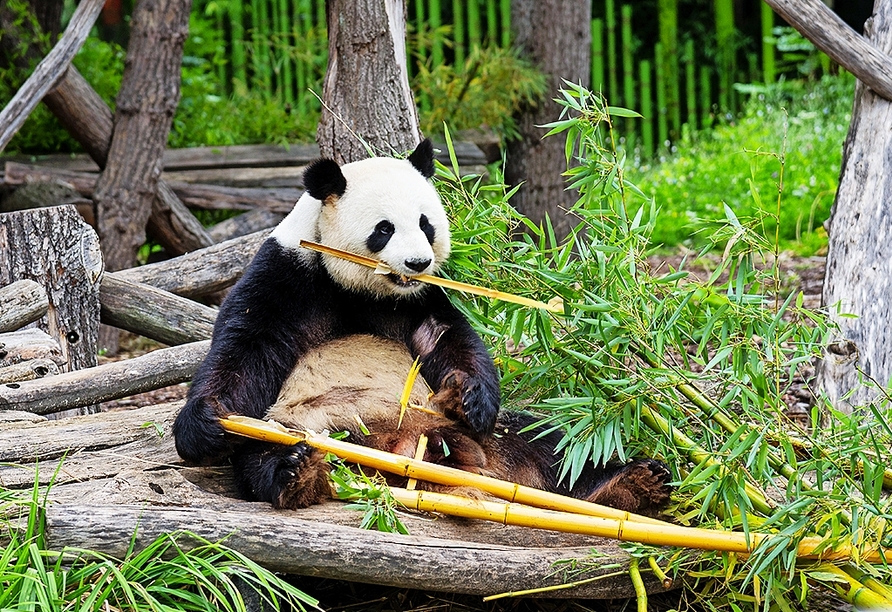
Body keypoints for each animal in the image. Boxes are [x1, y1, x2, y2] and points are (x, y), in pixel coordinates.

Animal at [172, 139, 668, 512]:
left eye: (426, 223)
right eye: (384, 229)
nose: (418, 262)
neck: (359, 286)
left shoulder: (422, 296)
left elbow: (448, 338)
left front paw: (472, 397)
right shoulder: (288, 274)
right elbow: (246, 349)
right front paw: (205, 421)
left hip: (491, 432)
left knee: (562, 444)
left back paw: (635, 483)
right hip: (303, 423)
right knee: (263, 451)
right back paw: (297, 473)